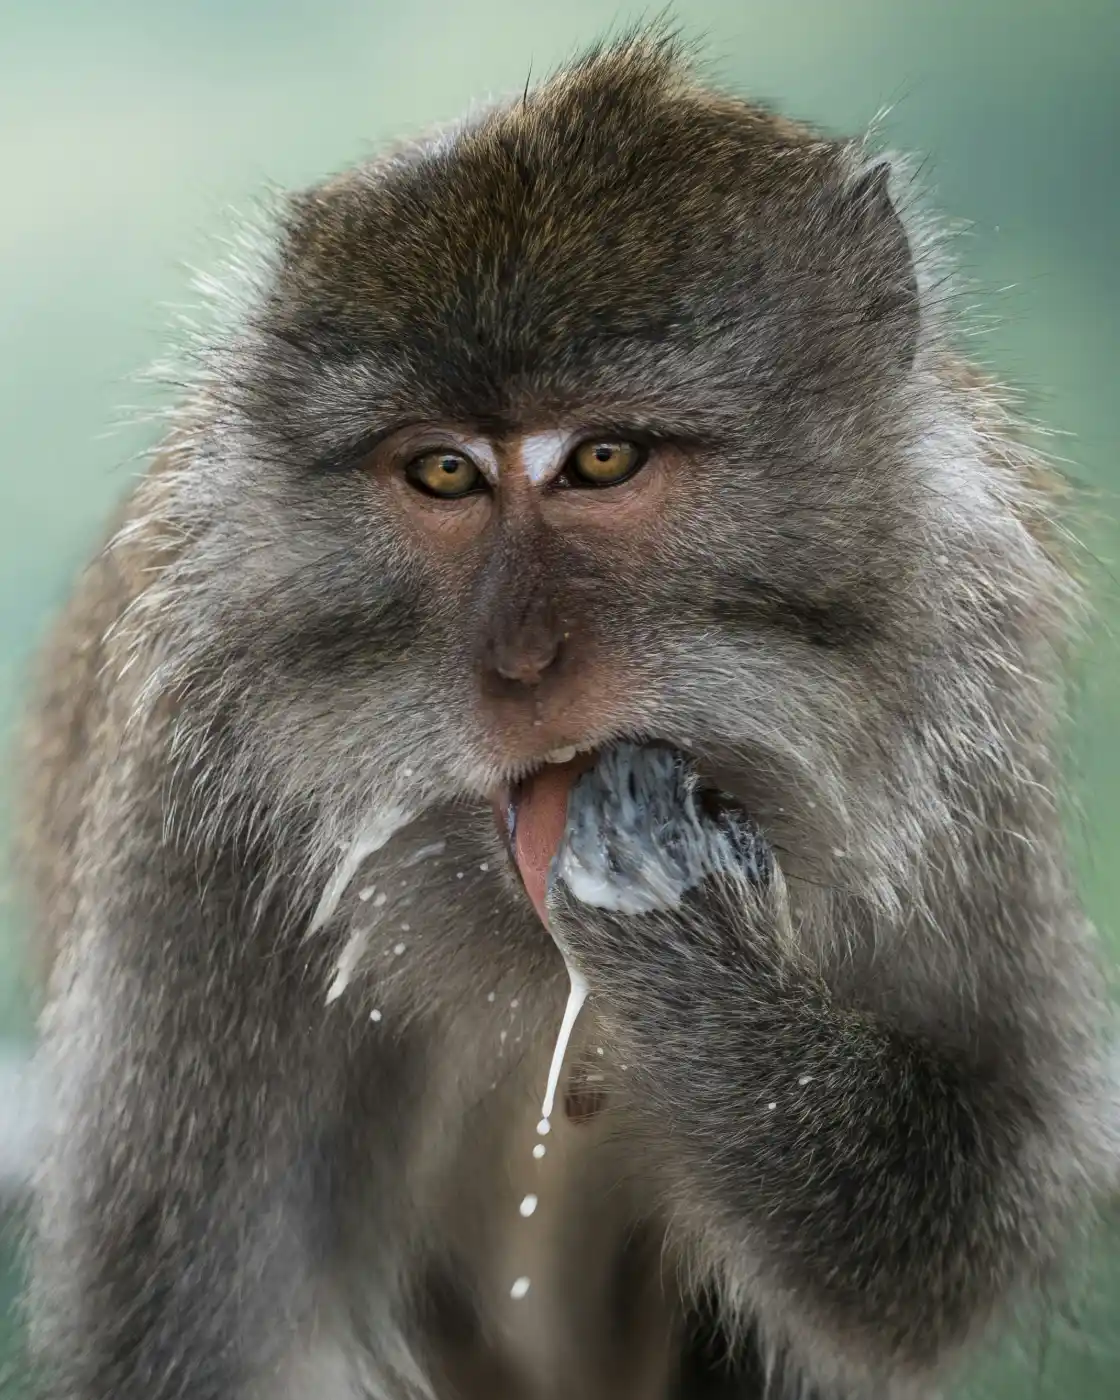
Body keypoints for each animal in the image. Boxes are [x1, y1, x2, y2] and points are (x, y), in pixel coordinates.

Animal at [14, 25, 1119, 1400]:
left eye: (602, 459)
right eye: (444, 470)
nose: (518, 661)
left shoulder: (965, 722)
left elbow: (949, 1223)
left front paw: (673, 921)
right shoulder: (197, 813)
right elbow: (196, 1346)